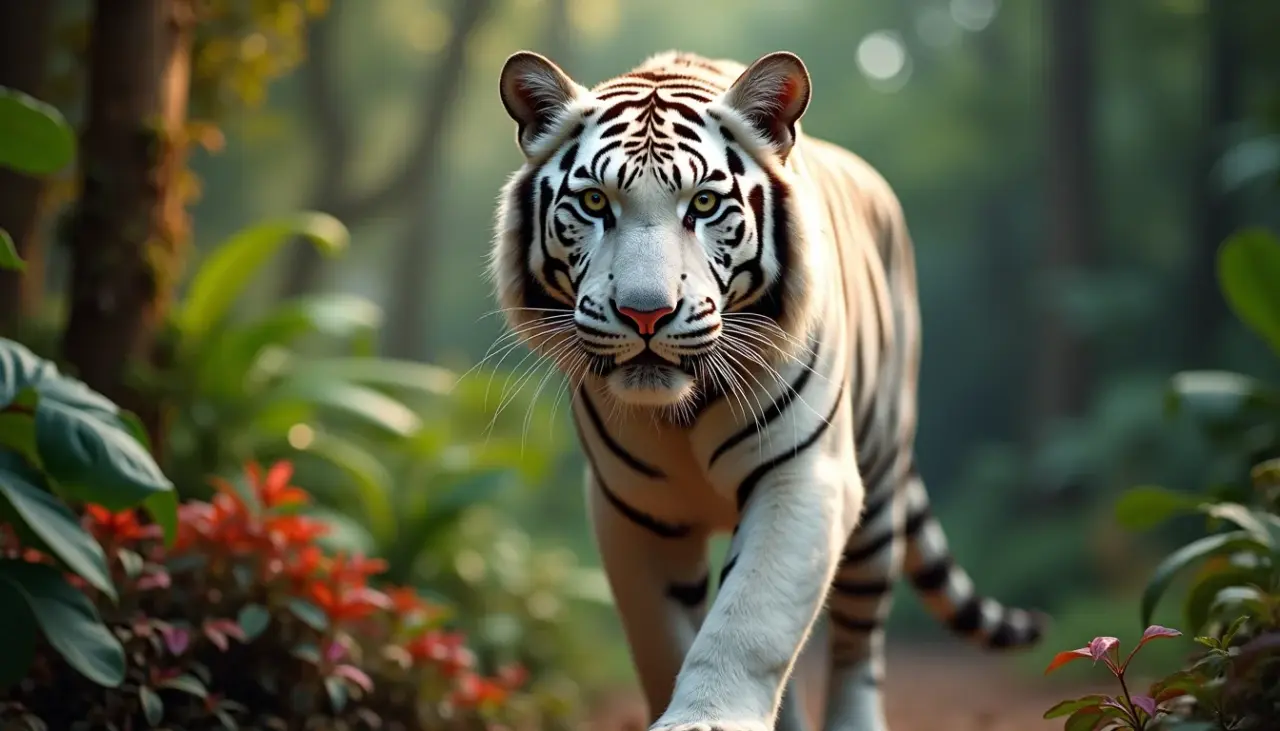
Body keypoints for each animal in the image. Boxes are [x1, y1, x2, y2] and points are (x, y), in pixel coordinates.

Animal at [488, 48, 1048, 731]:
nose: (646, 314)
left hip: (878, 494)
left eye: (703, 204)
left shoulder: (803, 475)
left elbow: (751, 619)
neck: (680, 408)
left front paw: (706, 717)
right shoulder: (633, 508)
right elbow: (663, 638)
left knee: (858, 646)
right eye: (595, 202)